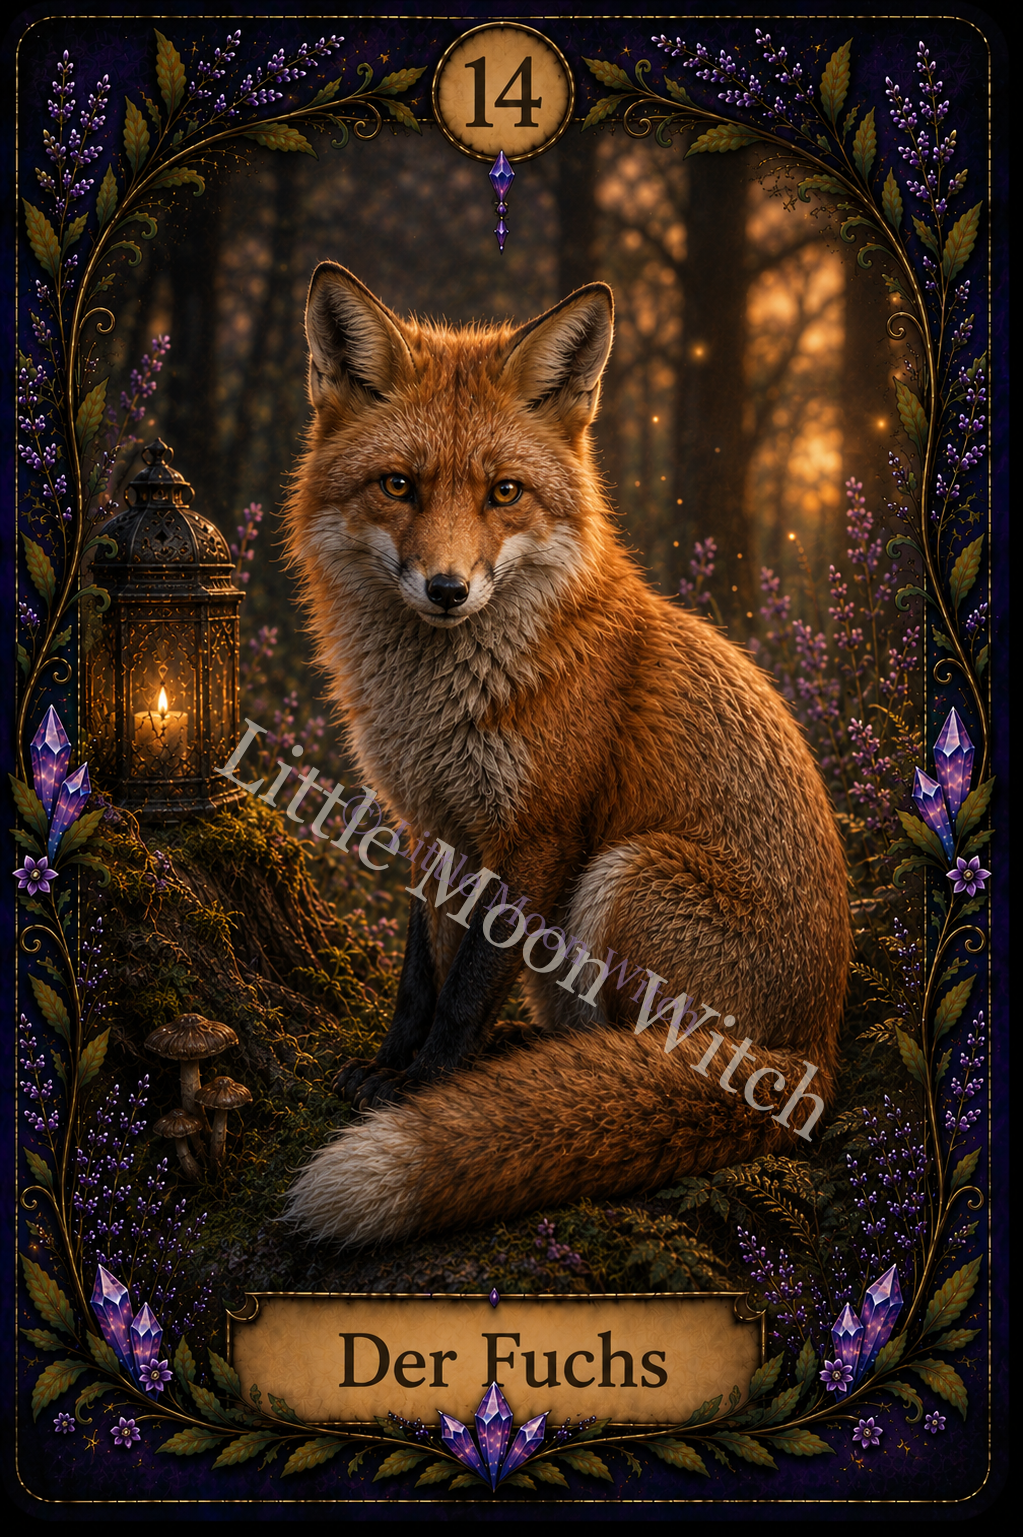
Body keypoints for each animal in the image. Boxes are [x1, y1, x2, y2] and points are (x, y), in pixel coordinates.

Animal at [282, 262, 851, 1249]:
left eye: (504, 492)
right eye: (398, 485)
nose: (447, 588)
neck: (440, 705)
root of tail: (812, 1056)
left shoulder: (541, 833)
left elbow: (470, 982)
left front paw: (425, 1086)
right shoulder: (431, 825)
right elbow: (423, 969)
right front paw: (392, 1065)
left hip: (626, 873)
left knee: (627, 1053)